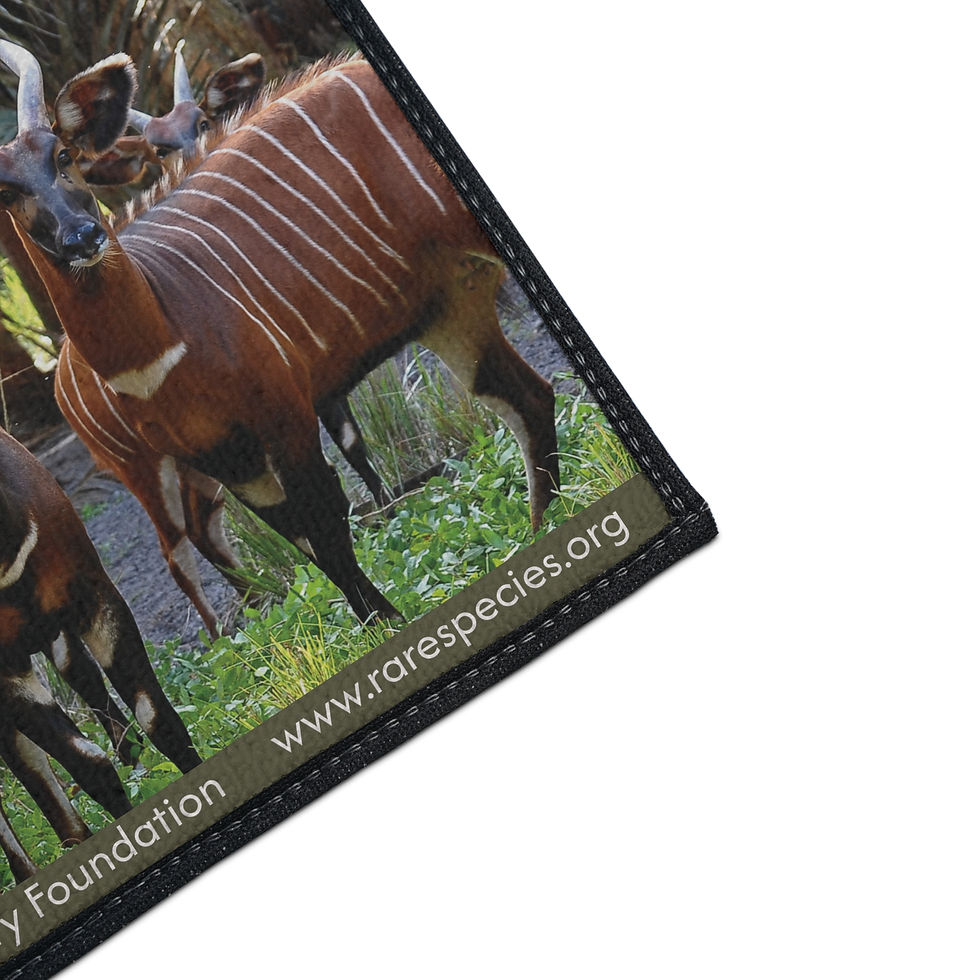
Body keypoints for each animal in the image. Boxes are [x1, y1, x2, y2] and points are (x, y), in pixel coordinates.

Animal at [0, 42, 559, 625]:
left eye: (62, 156)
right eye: (6, 191)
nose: (81, 237)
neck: (160, 336)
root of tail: (60, 376)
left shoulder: (286, 415)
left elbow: (329, 515)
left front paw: (387, 609)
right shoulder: (233, 457)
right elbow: (316, 538)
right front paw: (383, 620)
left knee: (527, 397)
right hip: (146, 471)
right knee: (181, 549)